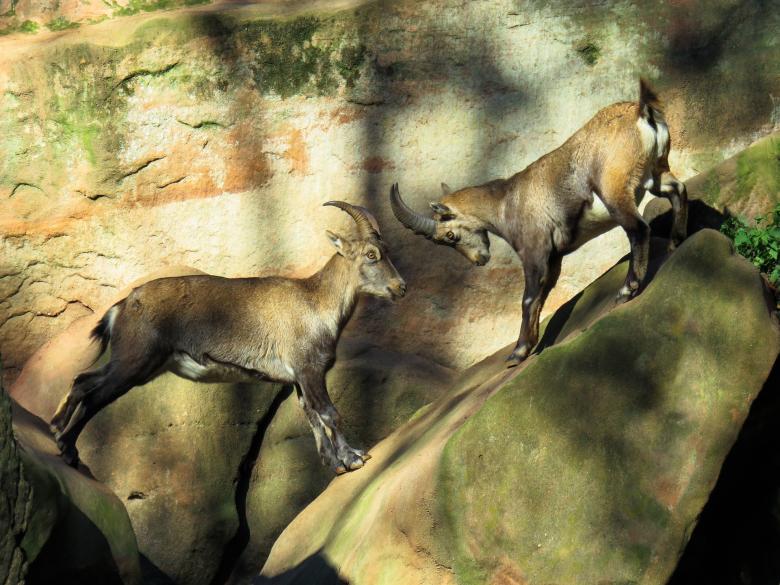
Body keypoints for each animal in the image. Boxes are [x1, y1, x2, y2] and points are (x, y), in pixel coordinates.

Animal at [50, 201, 407, 474]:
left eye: (387, 251)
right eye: (371, 255)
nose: (400, 287)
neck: (315, 302)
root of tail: (122, 306)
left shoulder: (298, 379)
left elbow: (313, 419)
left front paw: (335, 464)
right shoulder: (309, 370)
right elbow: (330, 413)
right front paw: (355, 458)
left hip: (137, 362)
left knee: (83, 379)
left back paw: (55, 428)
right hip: (136, 360)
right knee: (96, 396)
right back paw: (68, 450)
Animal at [390, 79, 687, 366]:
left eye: (448, 236)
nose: (479, 260)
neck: (506, 201)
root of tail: (642, 113)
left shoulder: (534, 250)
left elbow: (528, 298)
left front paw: (517, 353)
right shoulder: (554, 257)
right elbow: (542, 297)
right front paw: (529, 347)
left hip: (614, 189)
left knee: (639, 229)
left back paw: (627, 290)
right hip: (655, 173)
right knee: (678, 190)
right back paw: (676, 242)